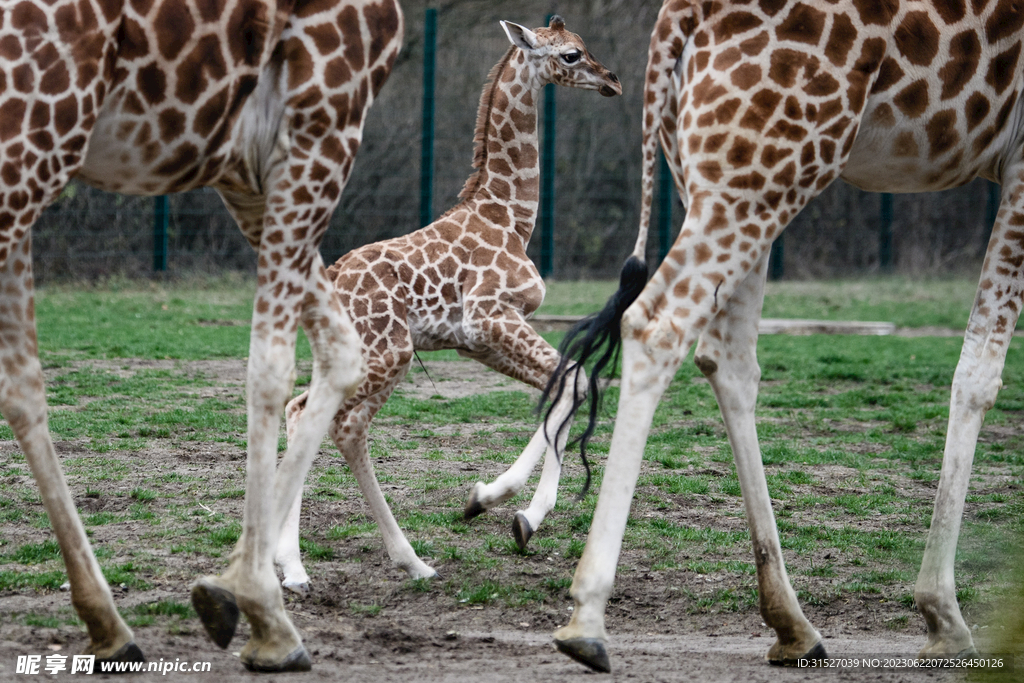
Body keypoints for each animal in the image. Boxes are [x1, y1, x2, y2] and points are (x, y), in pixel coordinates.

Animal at [0, 0, 401, 671]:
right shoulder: (322, 125)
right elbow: (270, 367)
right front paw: (257, 601)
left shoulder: (245, 173)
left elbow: (340, 350)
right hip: (28, 151)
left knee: (23, 387)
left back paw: (109, 623)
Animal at [548, 0, 1019, 671]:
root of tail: (678, 17)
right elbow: (978, 371)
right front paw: (944, 616)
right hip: (767, 163)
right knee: (660, 324)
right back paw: (587, 619)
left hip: (724, 174)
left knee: (727, 357)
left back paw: (793, 624)